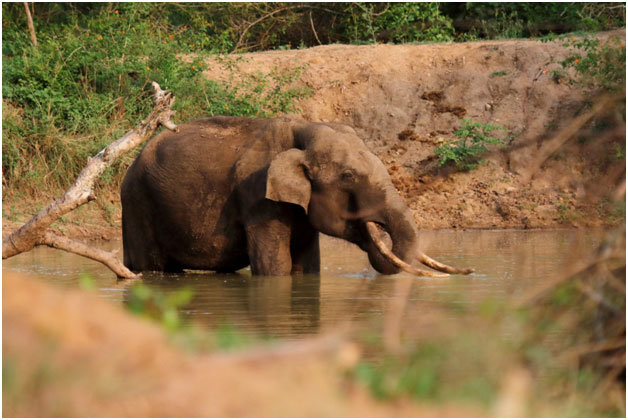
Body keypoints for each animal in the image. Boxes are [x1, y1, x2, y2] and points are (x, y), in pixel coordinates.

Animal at [121, 116, 472, 278]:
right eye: (348, 176)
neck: (303, 128)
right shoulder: (258, 198)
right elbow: (275, 266)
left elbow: (307, 266)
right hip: (138, 205)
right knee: (153, 267)